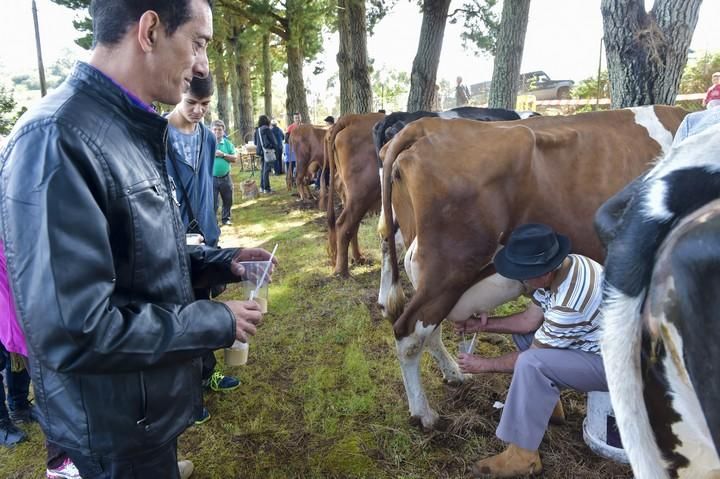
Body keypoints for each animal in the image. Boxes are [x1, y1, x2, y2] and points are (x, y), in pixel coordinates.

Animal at [324, 113, 386, 278]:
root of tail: (352, 117)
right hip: (363, 191)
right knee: (344, 224)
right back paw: (341, 271)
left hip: (353, 196)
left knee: (353, 225)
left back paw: (358, 258)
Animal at [376, 105, 688, 432]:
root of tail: (425, 125)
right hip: (448, 271)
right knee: (409, 335)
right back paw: (423, 412)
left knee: (428, 331)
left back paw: (454, 374)